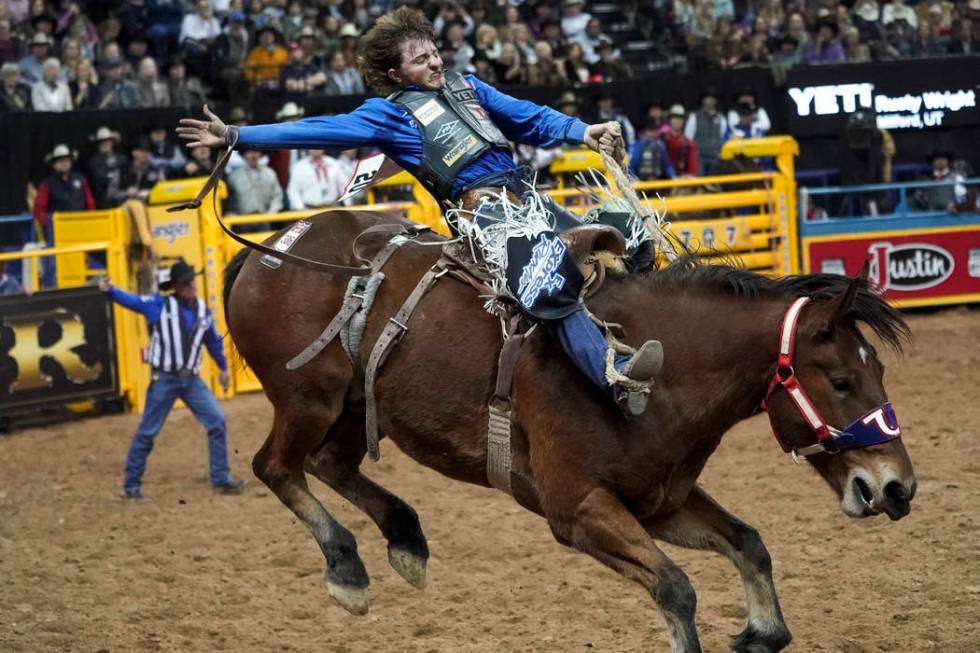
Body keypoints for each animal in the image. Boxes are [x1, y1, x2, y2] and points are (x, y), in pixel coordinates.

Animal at [218, 208, 916, 648]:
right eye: (842, 380)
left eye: (879, 368)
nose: (898, 488)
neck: (649, 372)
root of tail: (269, 252)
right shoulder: (578, 508)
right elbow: (675, 588)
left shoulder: (659, 500)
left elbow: (748, 542)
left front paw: (761, 632)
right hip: (308, 399)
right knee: (276, 467)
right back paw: (347, 568)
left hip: (353, 408)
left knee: (330, 463)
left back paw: (405, 539)